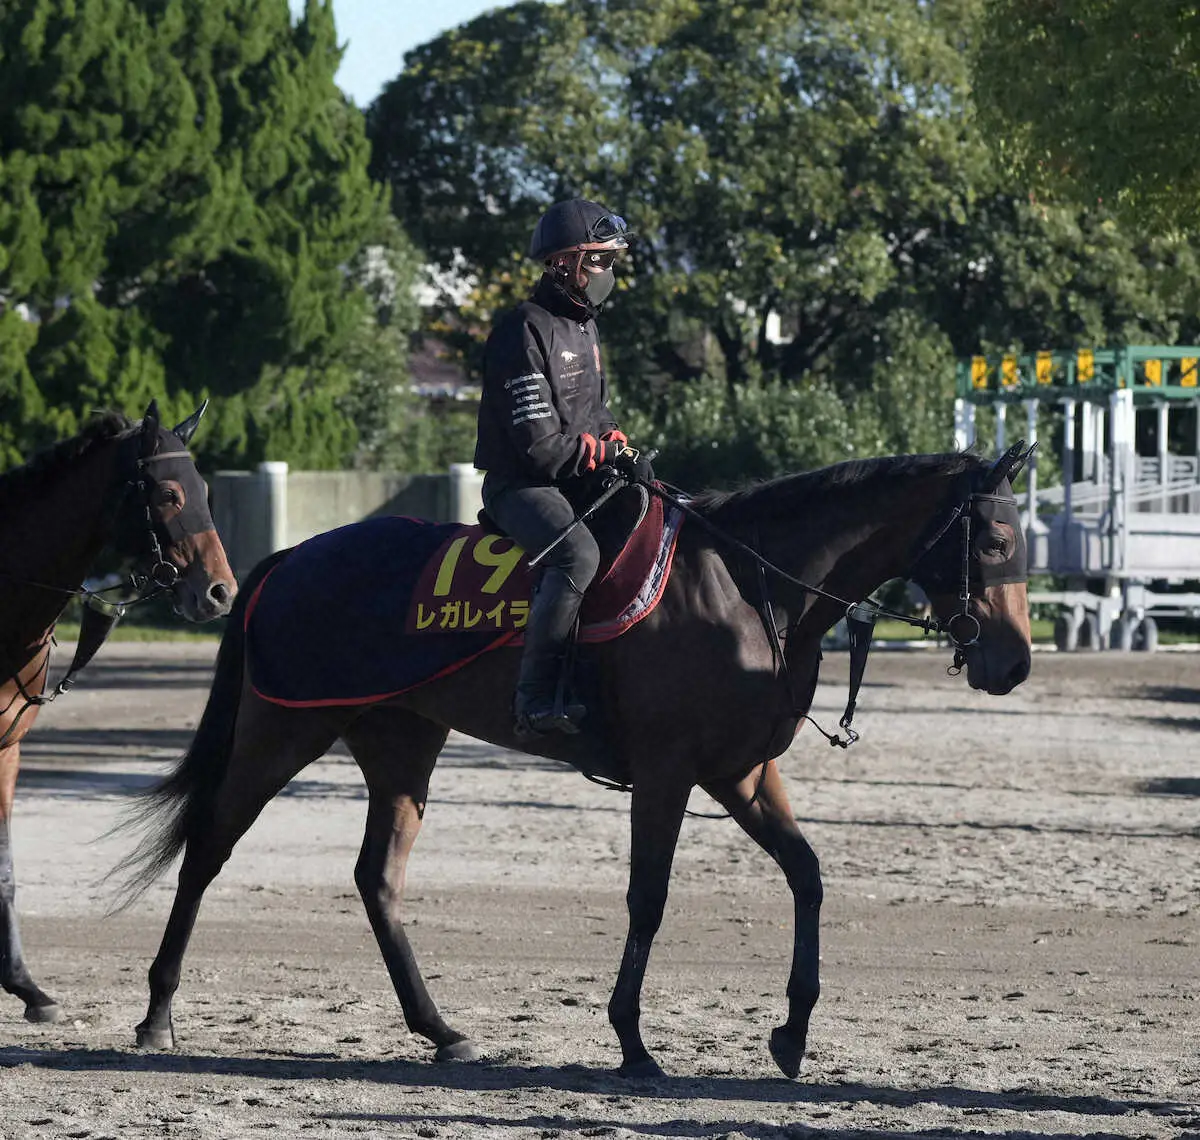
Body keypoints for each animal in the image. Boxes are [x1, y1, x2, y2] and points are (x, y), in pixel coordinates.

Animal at [0, 403, 236, 1027]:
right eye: (170, 494)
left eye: (206, 490)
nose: (220, 592)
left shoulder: (6, 752)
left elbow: (5, 871)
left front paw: (27, 988)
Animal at [117, 446, 1032, 1080]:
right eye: (993, 539)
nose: (1015, 662)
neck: (746, 584)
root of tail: (287, 559)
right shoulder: (667, 773)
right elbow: (648, 898)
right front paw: (631, 1040)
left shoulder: (742, 775)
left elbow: (807, 877)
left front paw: (793, 1030)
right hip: (283, 731)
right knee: (208, 848)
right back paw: (158, 1012)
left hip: (401, 742)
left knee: (377, 878)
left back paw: (440, 1029)